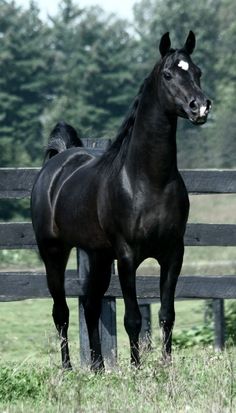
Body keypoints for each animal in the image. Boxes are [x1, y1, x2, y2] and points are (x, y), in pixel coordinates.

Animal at [30, 32, 210, 370]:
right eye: (168, 74)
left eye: (197, 71)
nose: (200, 107)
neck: (147, 180)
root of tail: (58, 162)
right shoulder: (127, 256)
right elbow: (133, 318)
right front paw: (137, 369)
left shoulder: (173, 254)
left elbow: (167, 313)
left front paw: (166, 366)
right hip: (53, 252)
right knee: (61, 311)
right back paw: (68, 367)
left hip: (98, 255)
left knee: (90, 306)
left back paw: (99, 367)